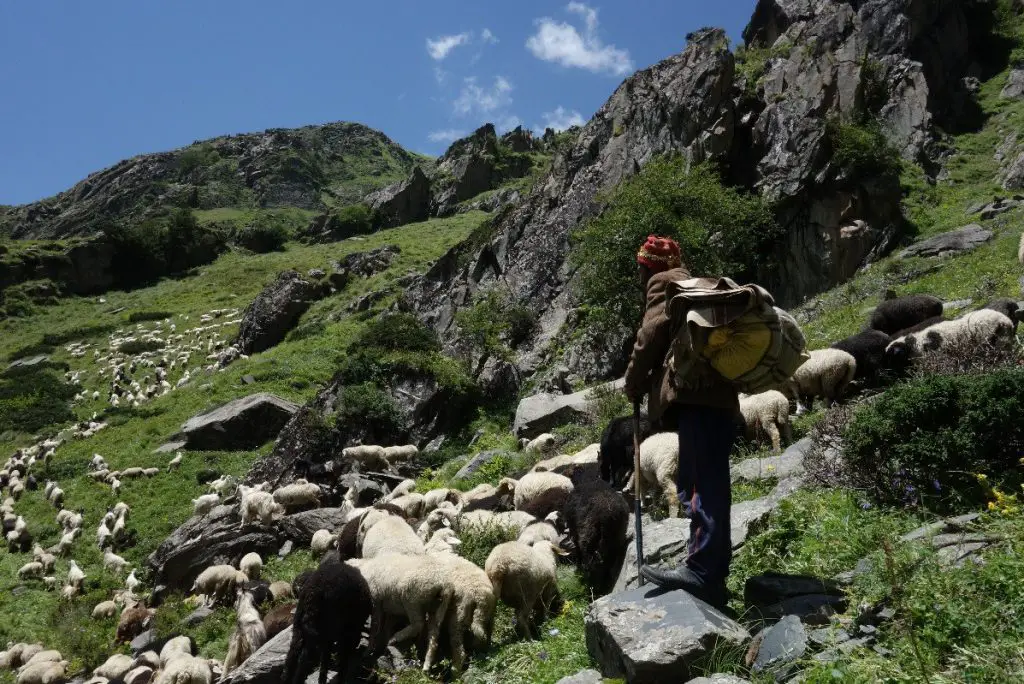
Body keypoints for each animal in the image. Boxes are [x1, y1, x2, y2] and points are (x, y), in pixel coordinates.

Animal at [282, 548, 374, 684]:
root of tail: (312, 594)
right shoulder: (346, 632)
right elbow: (341, 658)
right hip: (324, 627)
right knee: (305, 658)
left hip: (300, 625)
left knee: (292, 655)